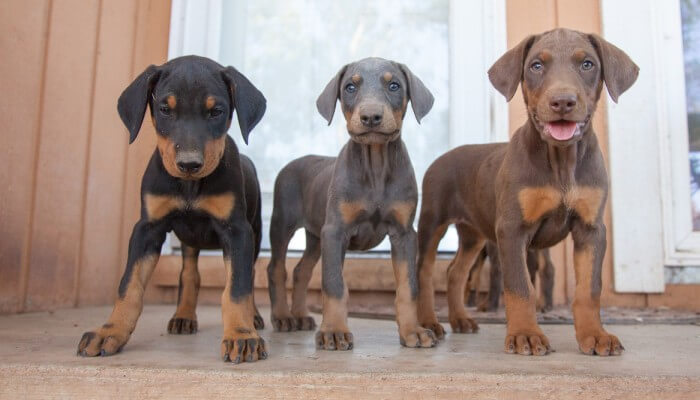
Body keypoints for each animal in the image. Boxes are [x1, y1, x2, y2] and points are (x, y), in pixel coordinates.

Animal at [76, 54, 268, 364]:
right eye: (165, 109)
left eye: (216, 112)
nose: (189, 164)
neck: (189, 186)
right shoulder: (147, 228)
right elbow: (129, 285)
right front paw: (110, 330)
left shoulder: (237, 231)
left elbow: (237, 287)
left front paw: (241, 334)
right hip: (189, 240)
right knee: (189, 273)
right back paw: (184, 316)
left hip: (257, 232)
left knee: (248, 274)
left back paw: (253, 317)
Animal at [266, 57, 438, 350]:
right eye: (350, 87)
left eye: (394, 85)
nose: (371, 117)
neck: (376, 164)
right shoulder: (335, 232)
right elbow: (334, 284)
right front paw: (334, 331)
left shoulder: (404, 233)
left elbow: (408, 287)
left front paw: (413, 330)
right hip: (282, 224)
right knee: (276, 268)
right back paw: (282, 317)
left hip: (315, 236)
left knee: (301, 270)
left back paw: (300, 316)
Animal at [416, 28, 640, 356]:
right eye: (536, 65)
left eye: (587, 64)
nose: (562, 101)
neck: (560, 160)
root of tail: (442, 157)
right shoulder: (512, 228)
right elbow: (521, 287)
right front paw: (525, 334)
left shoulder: (591, 229)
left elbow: (589, 289)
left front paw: (595, 335)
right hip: (433, 222)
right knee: (424, 271)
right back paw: (429, 323)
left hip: (473, 233)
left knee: (455, 272)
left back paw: (460, 320)